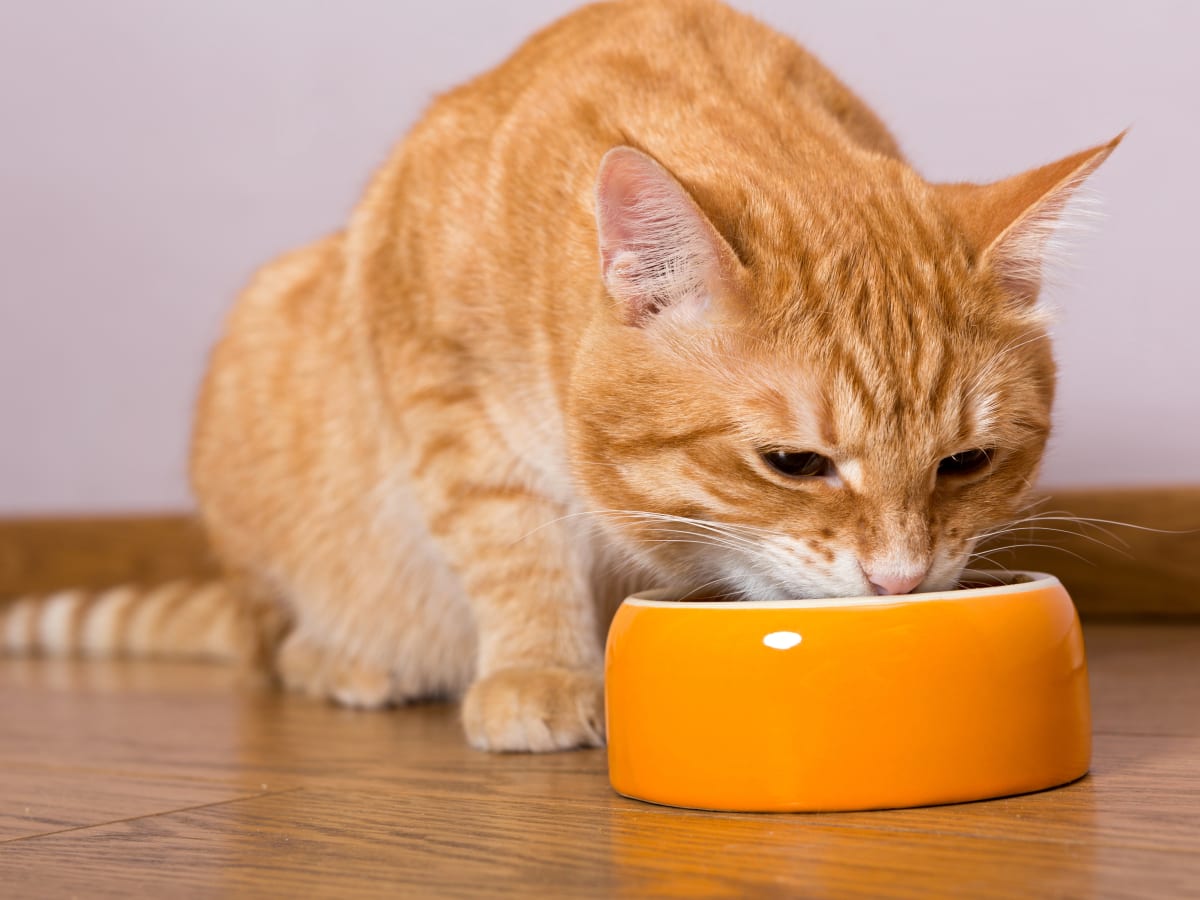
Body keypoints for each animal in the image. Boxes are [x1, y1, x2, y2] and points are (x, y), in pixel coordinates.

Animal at [7, 0, 1113, 753]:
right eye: (793, 463)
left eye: (967, 463)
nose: (900, 582)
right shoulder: (442, 391)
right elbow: (508, 538)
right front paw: (540, 670)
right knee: (268, 643)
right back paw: (347, 658)